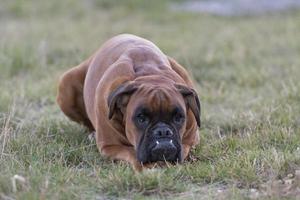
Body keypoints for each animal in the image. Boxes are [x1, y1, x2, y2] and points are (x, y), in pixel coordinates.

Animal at [57, 33, 200, 171]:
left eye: (178, 117)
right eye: (141, 118)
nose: (163, 131)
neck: (149, 74)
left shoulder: (191, 140)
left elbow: (184, 148)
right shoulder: (110, 146)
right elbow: (131, 152)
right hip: (65, 85)